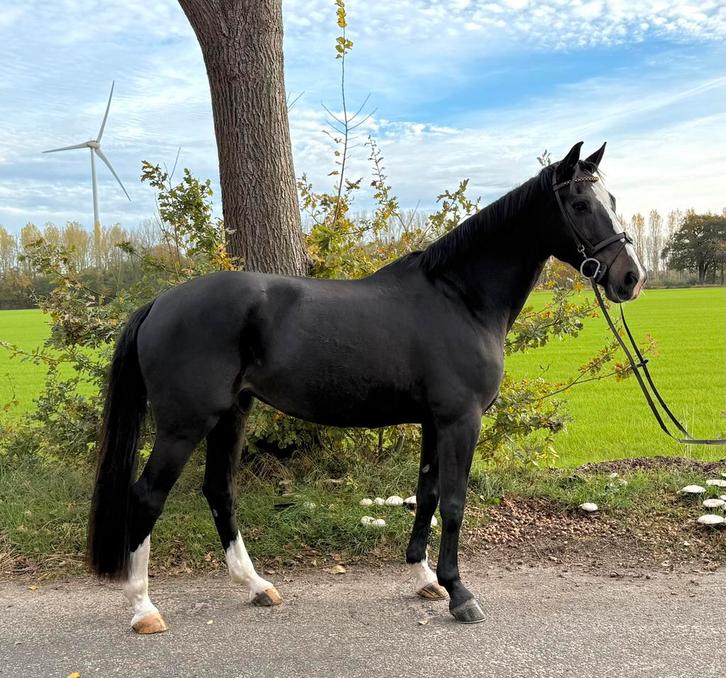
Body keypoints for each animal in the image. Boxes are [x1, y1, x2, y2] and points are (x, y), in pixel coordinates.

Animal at [88, 141, 646, 632]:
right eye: (580, 203)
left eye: (613, 200)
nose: (630, 278)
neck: (460, 297)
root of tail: (161, 303)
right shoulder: (460, 420)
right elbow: (454, 502)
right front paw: (459, 594)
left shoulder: (433, 421)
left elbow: (427, 494)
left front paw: (425, 578)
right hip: (185, 425)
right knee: (147, 497)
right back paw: (143, 608)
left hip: (232, 414)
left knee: (219, 490)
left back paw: (257, 586)